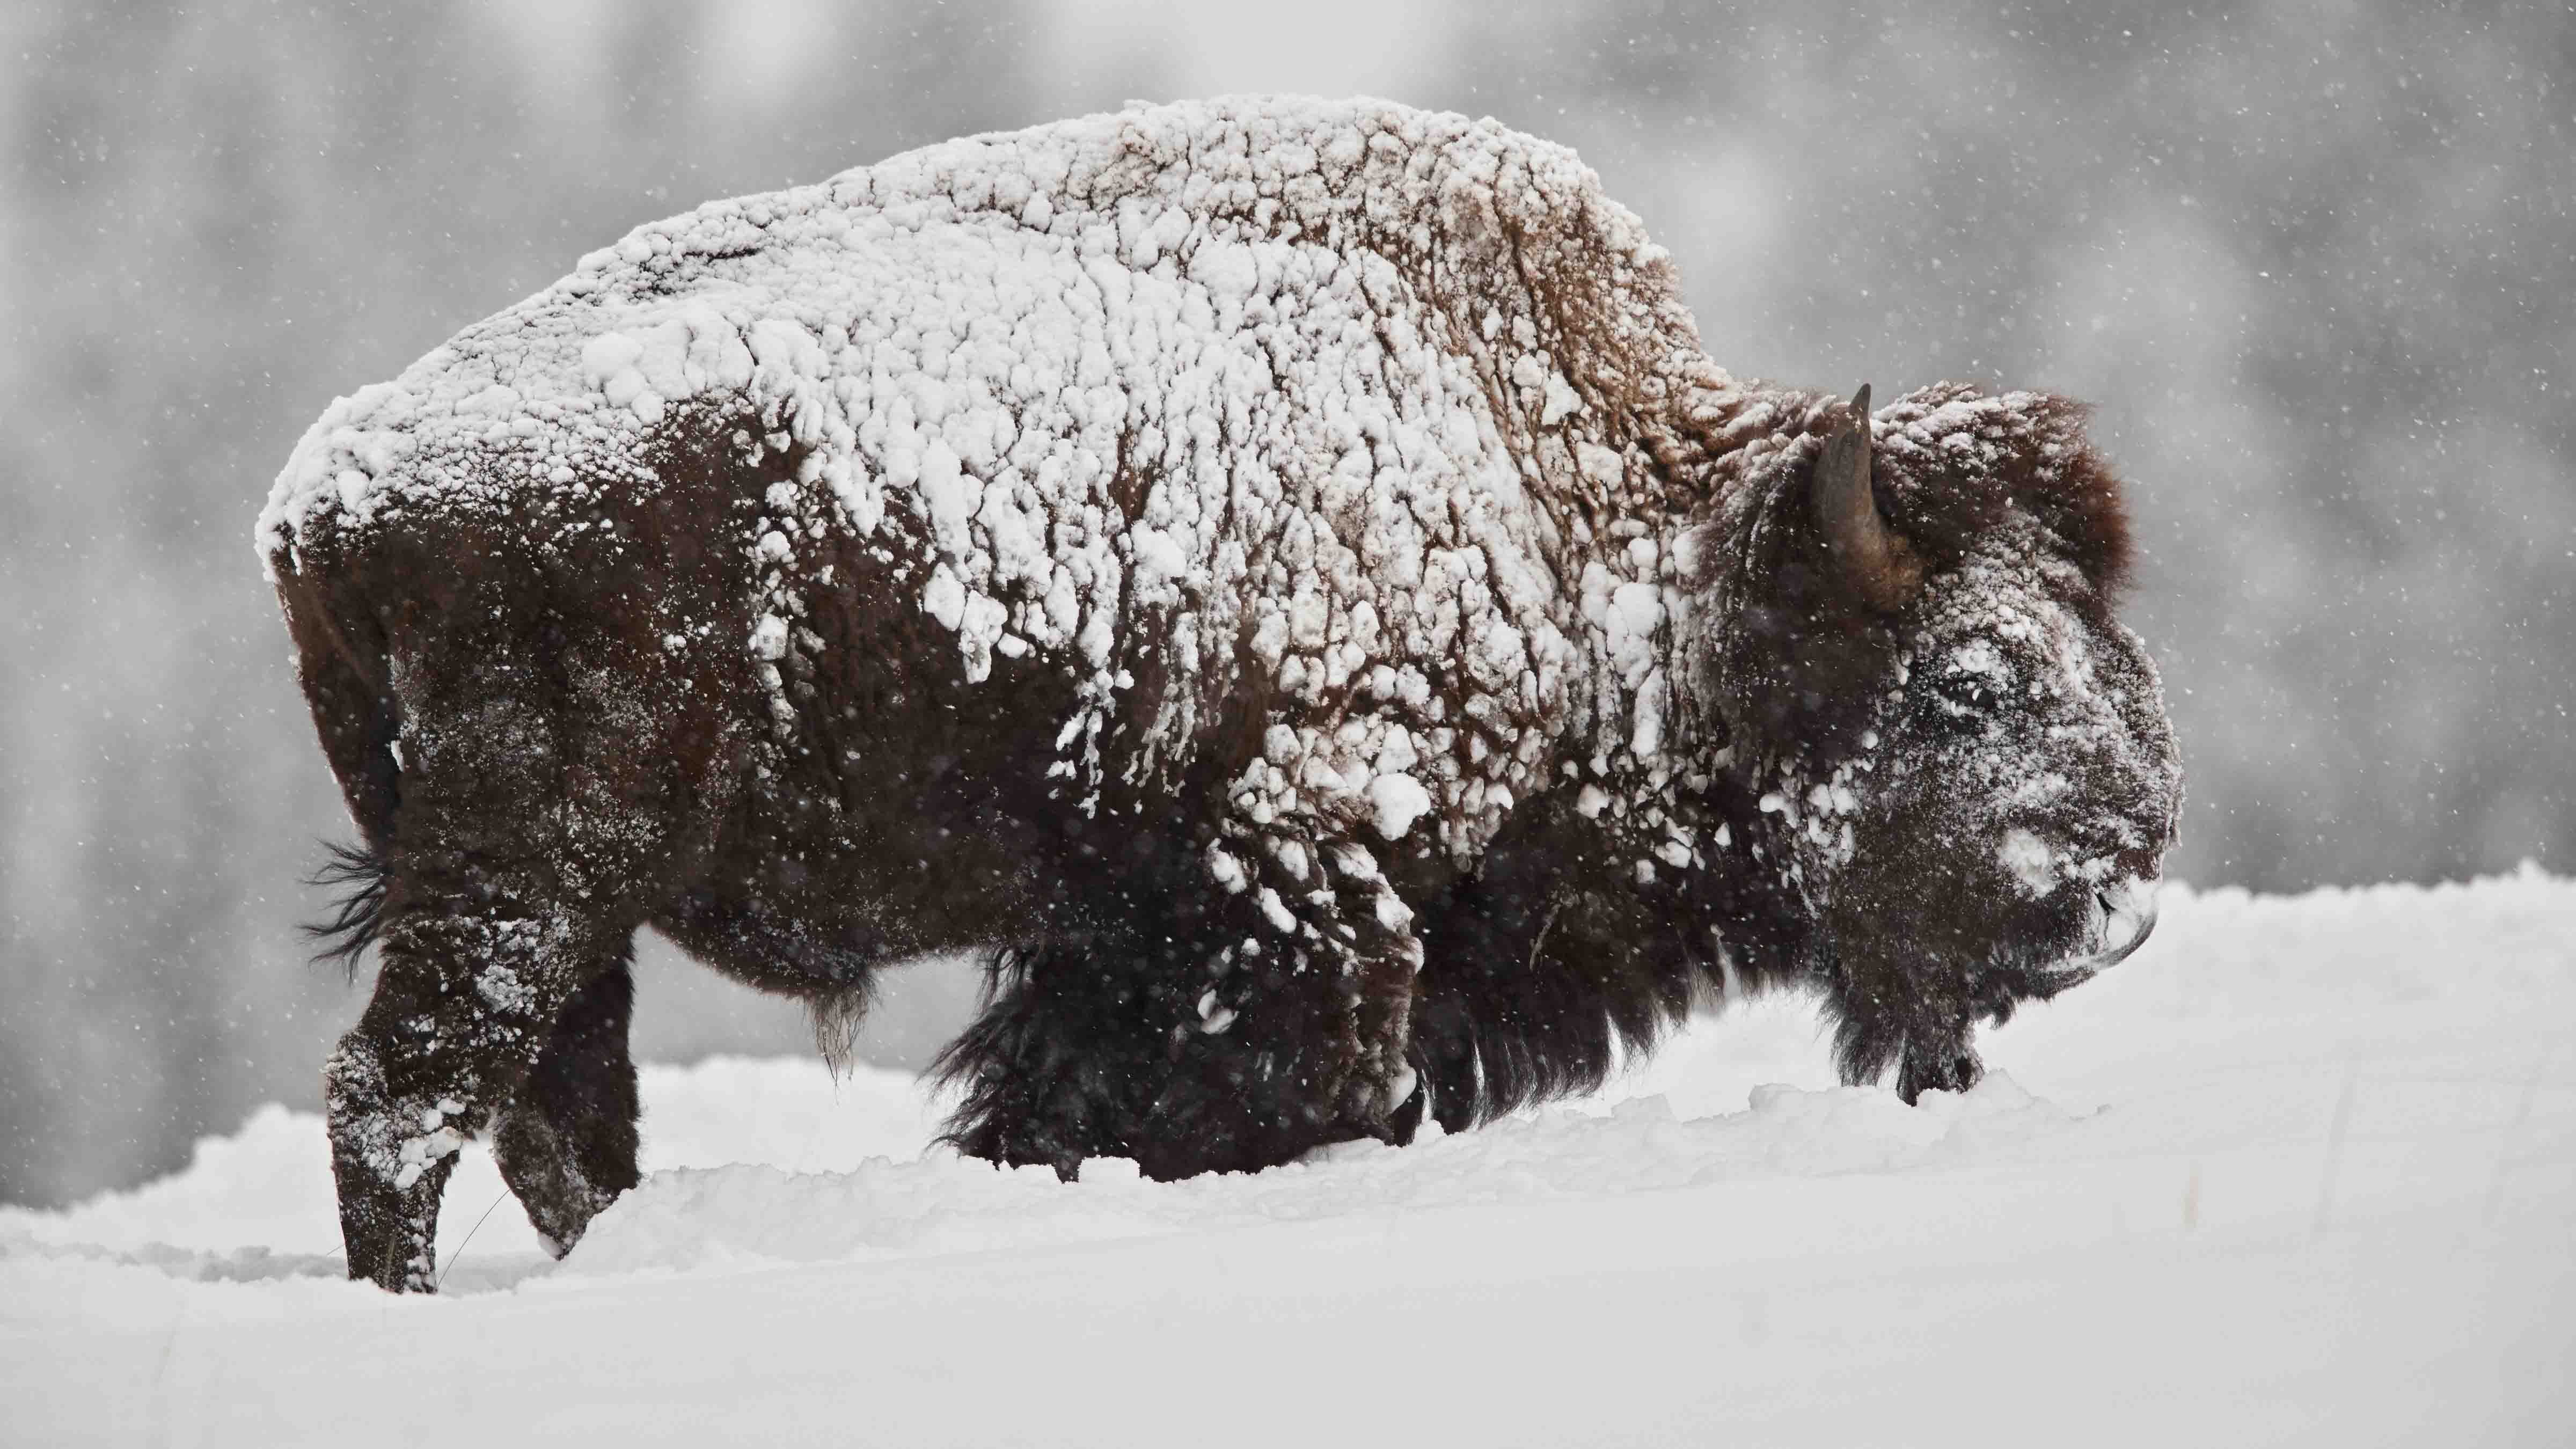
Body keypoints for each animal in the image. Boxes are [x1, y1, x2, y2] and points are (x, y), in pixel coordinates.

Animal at [263, 97, 2180, 1291]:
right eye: (1965, 682)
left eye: (2111, 652)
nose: (2120, 890)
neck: (1583, 511)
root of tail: (329, 494)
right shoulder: (1293, 907)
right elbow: (1251, 1097)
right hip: (533, 873)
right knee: (407, 1101)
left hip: (559, 906)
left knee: (549, 1125)